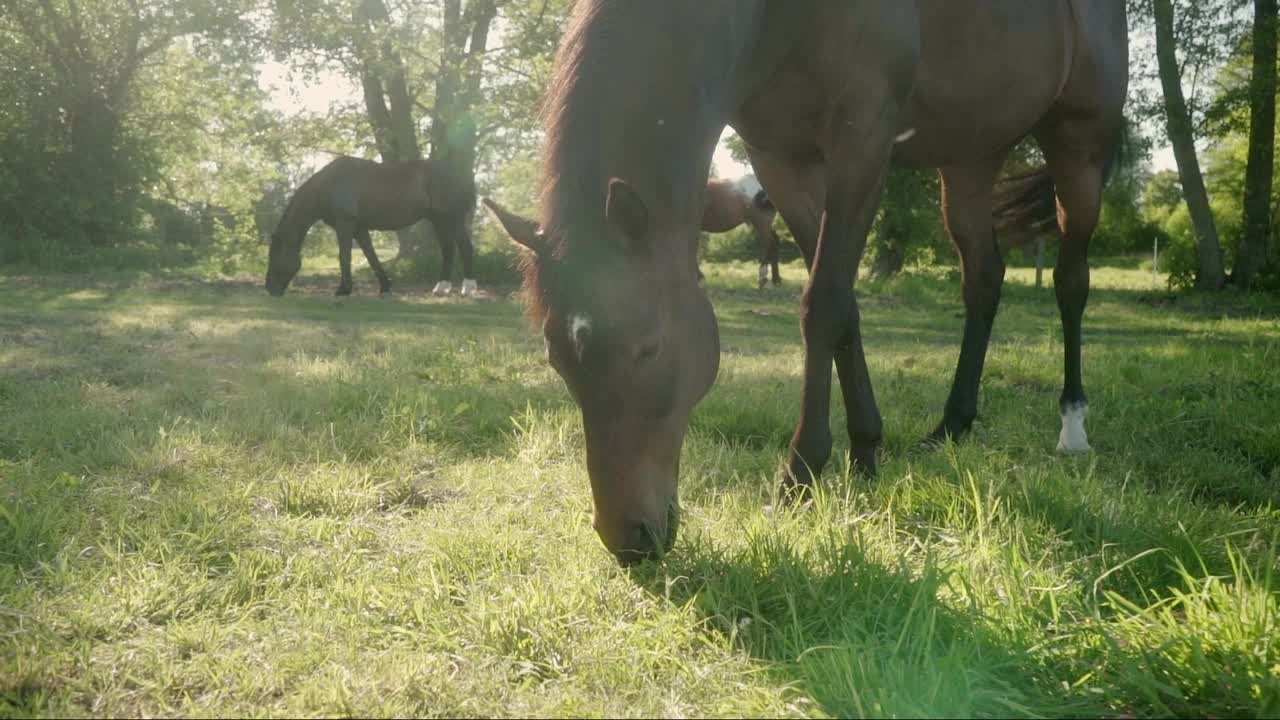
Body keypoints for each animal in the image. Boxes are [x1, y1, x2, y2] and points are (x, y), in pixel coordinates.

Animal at [264, 153, 481, 294]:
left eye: (275, 257)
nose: (269, 288)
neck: (328, 185)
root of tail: (462, 173)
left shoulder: (345, 225)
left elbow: (344, 256)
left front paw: (343, 289)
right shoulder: (359, 228)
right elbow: (371, 255)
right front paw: (385, 285)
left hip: (453, 218)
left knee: (465, 248)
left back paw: (468, 288)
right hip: (440, 221)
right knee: (448, 250)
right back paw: (441, 288)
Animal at [481, 0, 1131, 563]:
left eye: (650, 347)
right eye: (557, 360)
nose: (628, 539)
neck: (776, 15)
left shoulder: (862, 144)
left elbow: (822, 306)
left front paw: (801, 473)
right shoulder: (782, 160)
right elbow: (843, 307)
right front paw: (866, 451)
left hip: (1080, 144)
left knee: (1071, 281)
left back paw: (1073, 424)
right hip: (971, 156)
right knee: (983, 282)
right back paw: (952, 425)